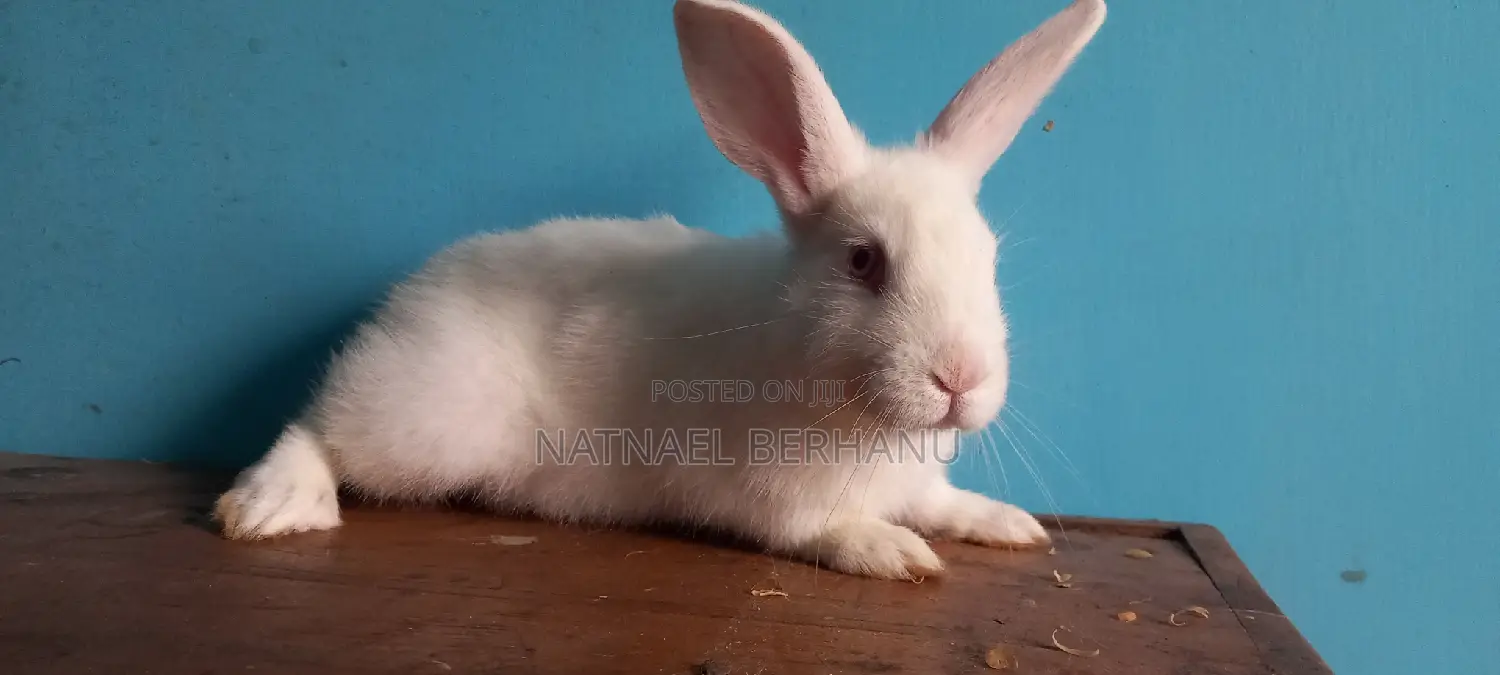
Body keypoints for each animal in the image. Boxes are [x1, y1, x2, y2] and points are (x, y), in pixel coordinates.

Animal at [212, 0, 1106, 581]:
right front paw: (893, 552)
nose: (961, 378)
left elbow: (940, 501)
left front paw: (1004, 522)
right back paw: (269, 505)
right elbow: (818, 529)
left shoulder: (917, 481)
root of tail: (406, 298)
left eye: (989, 258)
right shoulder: (762, 493)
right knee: (319, 426)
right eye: (863, 261)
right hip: (427, 424)